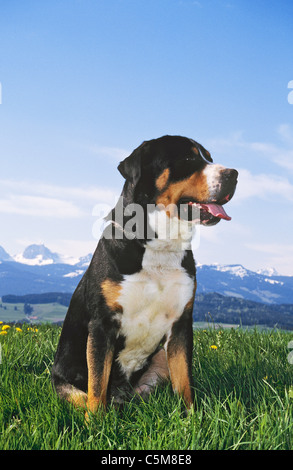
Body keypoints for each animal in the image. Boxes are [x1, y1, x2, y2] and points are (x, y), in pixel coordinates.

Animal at [50, 135, 237, 414]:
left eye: (209, 158)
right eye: (188, 158)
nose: (234, 174)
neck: (161, 247)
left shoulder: (181, 324)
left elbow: (185, 382)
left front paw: (191, 418)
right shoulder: (102, 325)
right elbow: (97, 387)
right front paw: (96, 423)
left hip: (159, 359)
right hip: (65, 383)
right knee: (87, 397)